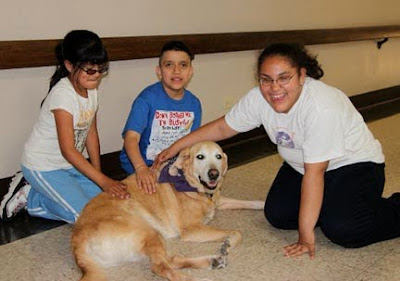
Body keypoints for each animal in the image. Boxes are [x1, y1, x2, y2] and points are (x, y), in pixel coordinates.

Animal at [71, 141, 266, 278]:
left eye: (218, 156)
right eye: (200, 157)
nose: (214, 174)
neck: (191, 185)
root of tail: (77, 242)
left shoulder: (218, 201)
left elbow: (248, 203)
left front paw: (262, 203)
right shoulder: (191, 230)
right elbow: (236, 231)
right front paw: (228, 243)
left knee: (171, 261)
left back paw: (212, 261)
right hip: (149, 232)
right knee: (160, 267)